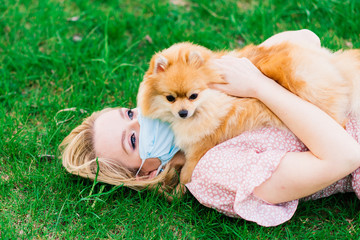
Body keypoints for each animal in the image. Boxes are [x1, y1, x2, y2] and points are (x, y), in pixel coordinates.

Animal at [137, 39, 360, 193]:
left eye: (193, 96)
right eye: (170, 98)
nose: (183, 113)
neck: (211, 101)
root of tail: (335, 66)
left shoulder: (199, 146)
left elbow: (186, 174)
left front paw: (177, 194)